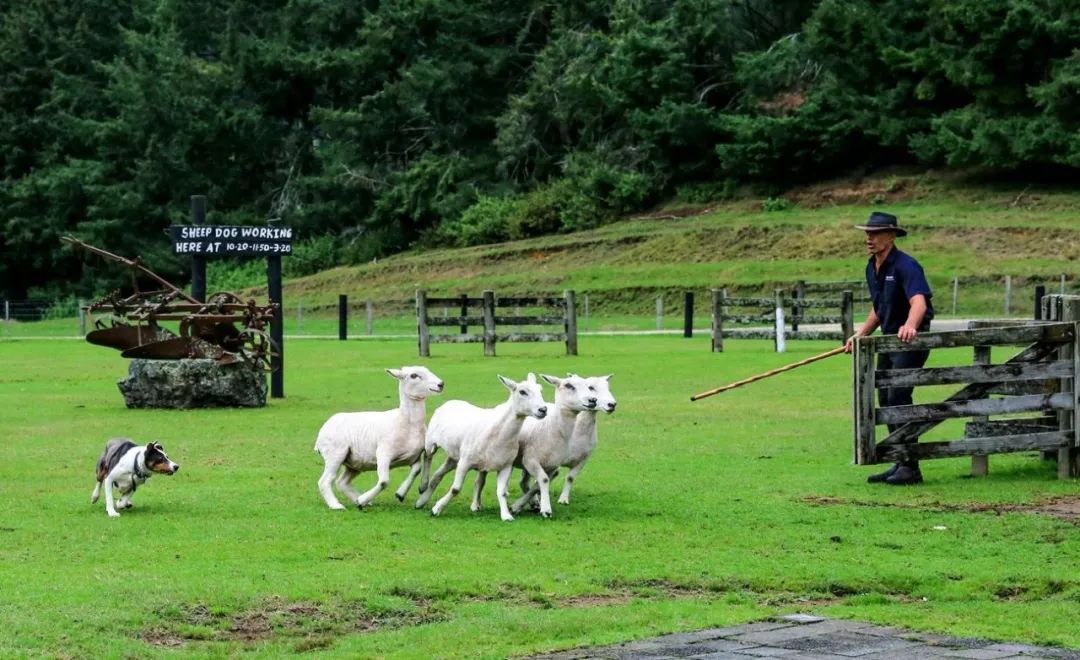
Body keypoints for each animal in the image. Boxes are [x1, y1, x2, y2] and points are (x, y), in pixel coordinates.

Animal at [315, 367, 444, 512]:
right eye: (414, 375)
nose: (441, 384)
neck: (407, 422)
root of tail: (324, 427)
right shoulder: (383, 454)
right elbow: (383, 482)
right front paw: (363, 500)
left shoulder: (412, 457)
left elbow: (416, 470)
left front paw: (400, 493)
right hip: (335, 454)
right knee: (325, 480)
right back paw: (337, 505)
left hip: (355, 462)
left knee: (342, 482)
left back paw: (360, 500)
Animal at [416, 371, 544, 520]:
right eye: (522, 392)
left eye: (540, 389)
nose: (543, 409)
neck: (499, 432)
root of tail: (451, 401)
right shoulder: (465, 462)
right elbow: (455, 489)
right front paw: (437, 509)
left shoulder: (506, 465)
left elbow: (501, 491)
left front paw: (506, 515)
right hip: (431, 441)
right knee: (427, 456)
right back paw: (422, 486)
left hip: (455, 456)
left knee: (438, 475)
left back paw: (422, 500)